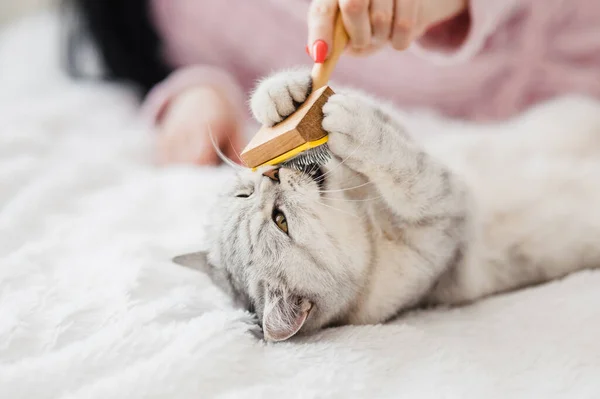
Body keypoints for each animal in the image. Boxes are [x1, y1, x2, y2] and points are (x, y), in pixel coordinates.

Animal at [173, 69, 600, 344]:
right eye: (281, 222)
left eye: (244, 195)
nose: (270, 175)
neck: (365, 212)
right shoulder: (445, 211)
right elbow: (406, 168)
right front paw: (353, 129)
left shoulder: (409, 133)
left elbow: (382, 118)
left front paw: (280, 95)